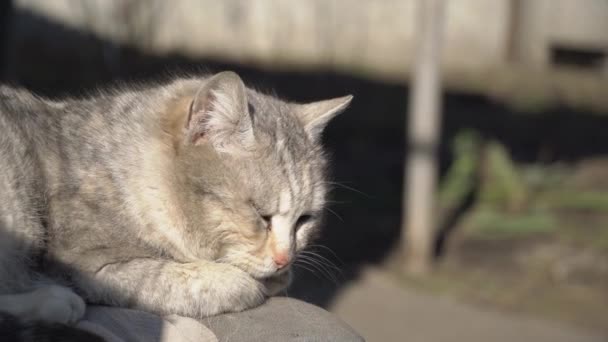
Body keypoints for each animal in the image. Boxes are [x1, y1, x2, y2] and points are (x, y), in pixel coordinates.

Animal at [0, 71, 352, 324]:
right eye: (259, 215)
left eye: (304, 220)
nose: (285, 259)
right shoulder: (90, 266)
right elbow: (190, 280)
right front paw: (246, 281)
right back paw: (53, 302)